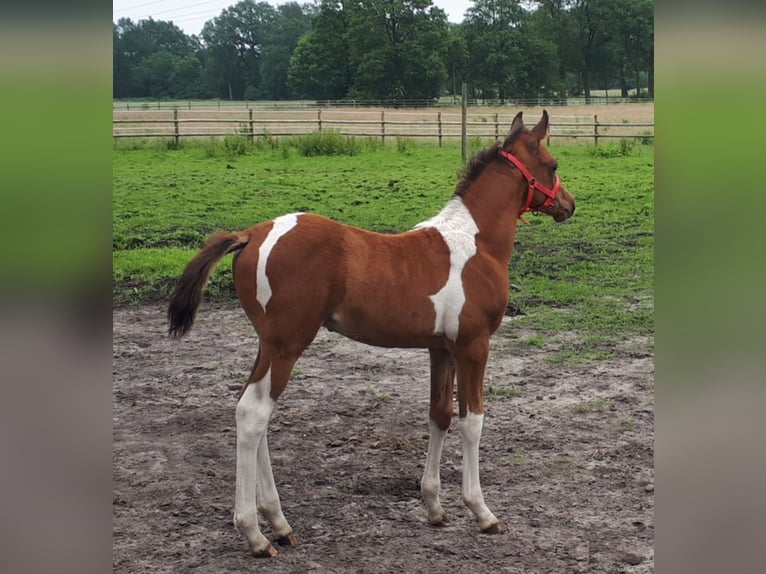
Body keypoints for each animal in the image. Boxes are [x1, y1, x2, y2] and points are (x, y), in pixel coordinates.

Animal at [168, 110, 576, 560]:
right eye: (553, 164)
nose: (568, 205)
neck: (475, 242)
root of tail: (253, 233)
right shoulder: (473, 346)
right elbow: (473, 421)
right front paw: (482, 512)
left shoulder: (441, 349)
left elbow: (439, 415)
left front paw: (434, 507)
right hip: (287, 344)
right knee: (254, 414)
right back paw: (256, 535)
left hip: (267, 344)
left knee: (252, 410)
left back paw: (278, 524)